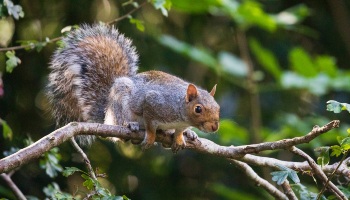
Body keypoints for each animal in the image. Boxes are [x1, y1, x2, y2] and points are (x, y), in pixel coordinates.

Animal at [47, 23, 220, 152]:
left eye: (218, 107)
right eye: (198, 109)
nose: (214, 127)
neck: (180, 108)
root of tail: (107, 115)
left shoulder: (179, 125)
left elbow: (178, 132)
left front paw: (179, 137)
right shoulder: (154, 102)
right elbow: (150, 124)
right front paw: (150, 137)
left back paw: (188, 134)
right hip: (119, 104)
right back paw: (130, 124)